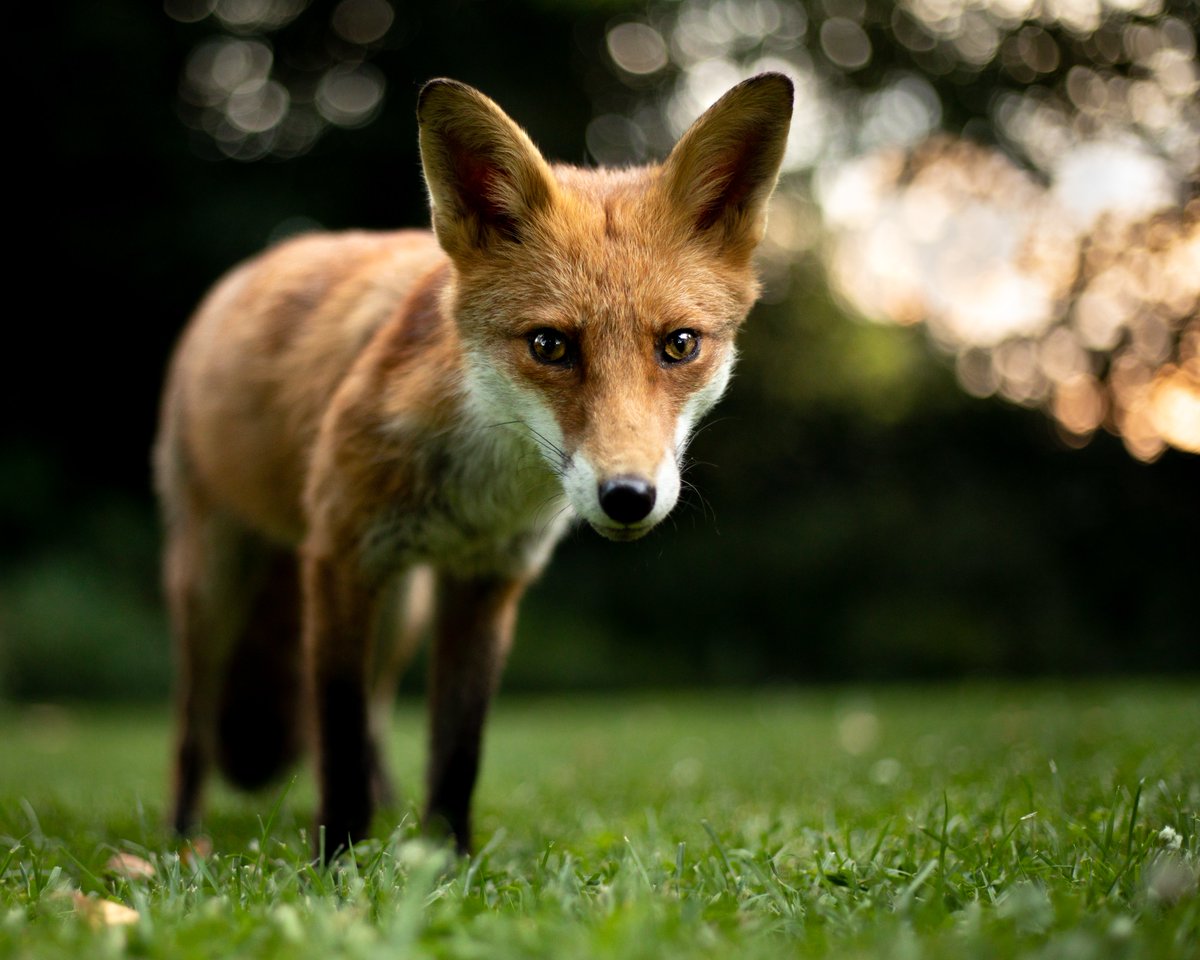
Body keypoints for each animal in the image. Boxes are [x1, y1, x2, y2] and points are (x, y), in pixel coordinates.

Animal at [155, 73, 794, 859]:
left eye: (679, 344)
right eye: (550, 345)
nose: (628, 496)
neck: (479, 492)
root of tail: (258, 262)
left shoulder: (486, 581)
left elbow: (458, 748)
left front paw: (445, 860)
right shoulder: (339, 559)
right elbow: (335, 737)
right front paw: (336, 862)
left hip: (401, 611)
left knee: (374, 716)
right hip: (215, 583)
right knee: (193, 725)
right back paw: (181, 839)